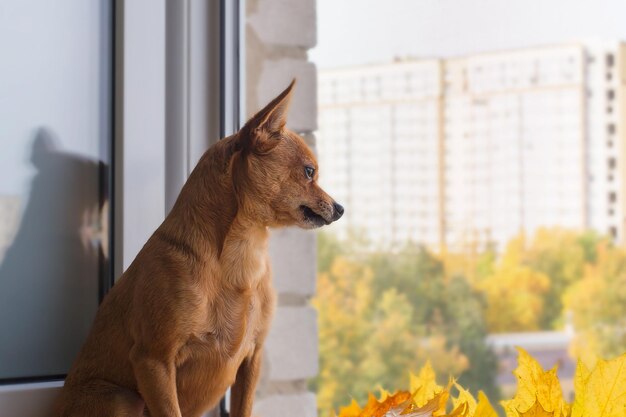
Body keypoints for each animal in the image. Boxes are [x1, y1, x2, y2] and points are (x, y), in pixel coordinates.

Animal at [54, 79, 342, 414]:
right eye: (310, 172)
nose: (340, 208)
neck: (244, 253)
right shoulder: (154, 361)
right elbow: (170, 410)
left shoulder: (252, 359)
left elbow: (244, 408)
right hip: (122, 398)